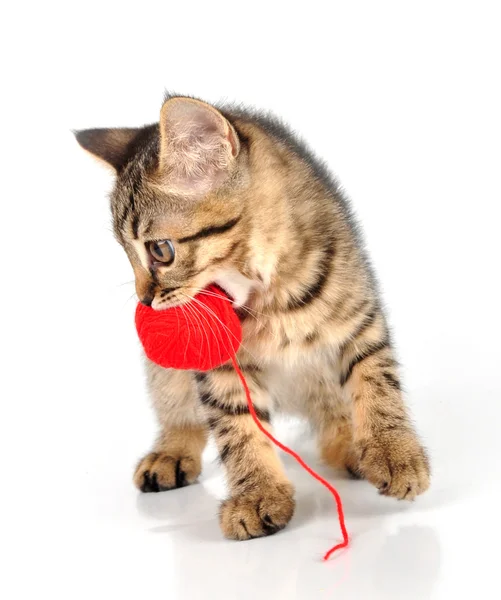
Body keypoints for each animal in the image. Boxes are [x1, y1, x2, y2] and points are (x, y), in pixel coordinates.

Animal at [76, 97, 428, 540]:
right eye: (126, 253)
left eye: (160, 251)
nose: (145, 299)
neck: (267, 299)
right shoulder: (218, 365)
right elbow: (238, 427)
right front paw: (257, 495)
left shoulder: (359, 318)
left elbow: (377, 383)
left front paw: (395, 453)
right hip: (165, 370)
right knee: (178, 408)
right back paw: (171, 451)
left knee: (332, 411)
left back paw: (350, 444)